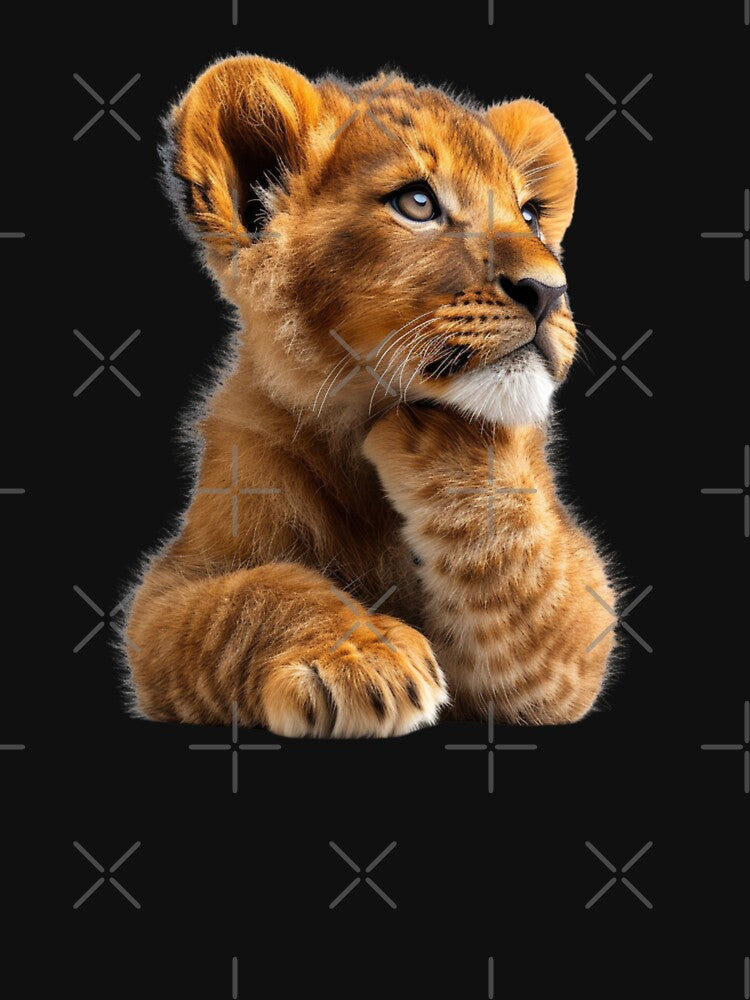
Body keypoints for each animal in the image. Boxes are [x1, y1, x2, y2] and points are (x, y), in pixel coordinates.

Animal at [125, 55, 616, 737]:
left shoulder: (575, 630)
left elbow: (533, 587)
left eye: (531, 216)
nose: (550, 291)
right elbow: (255, 594)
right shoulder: (168, 594)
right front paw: (359, 658)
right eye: (417, 203)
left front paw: (447, 440)